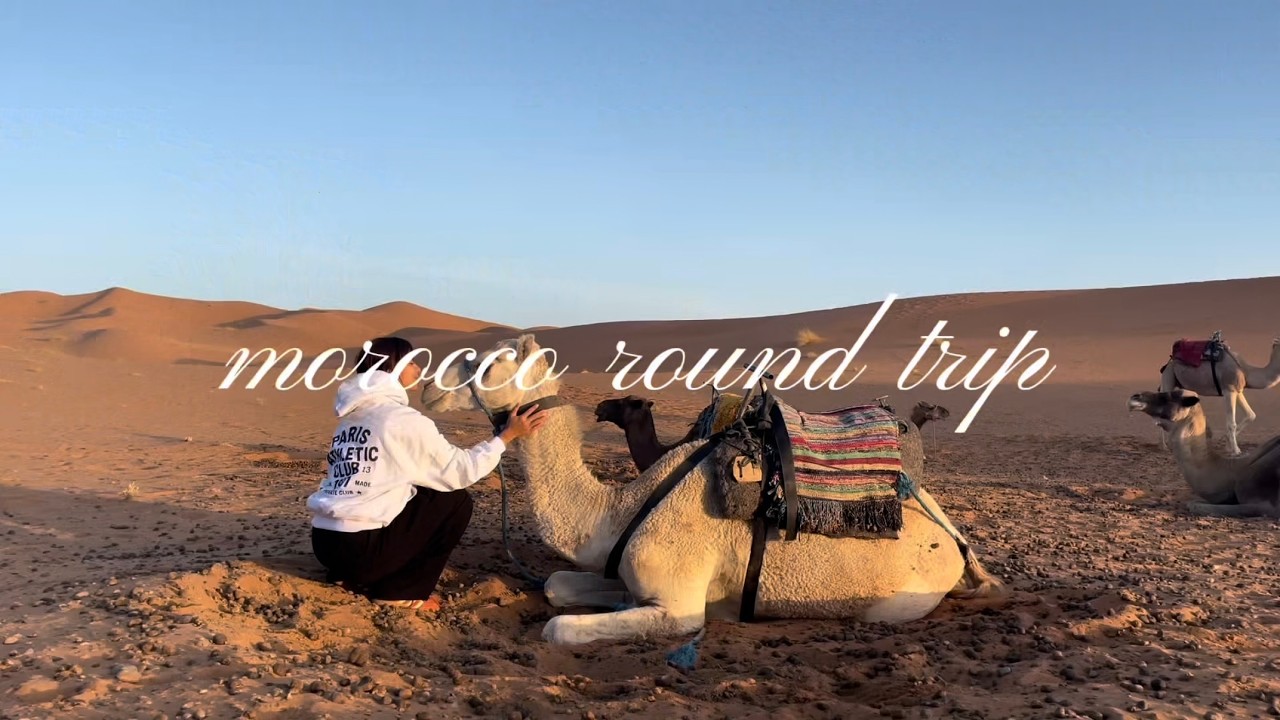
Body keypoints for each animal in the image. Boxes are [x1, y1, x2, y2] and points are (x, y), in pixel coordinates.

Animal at [420, 334, 1003, 646]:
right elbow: (558, 585)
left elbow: (558, 627)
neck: (619, 509)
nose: (427, 387)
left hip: (896, 601)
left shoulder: (680, 604)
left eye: (488, 362)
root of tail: (957, 547)